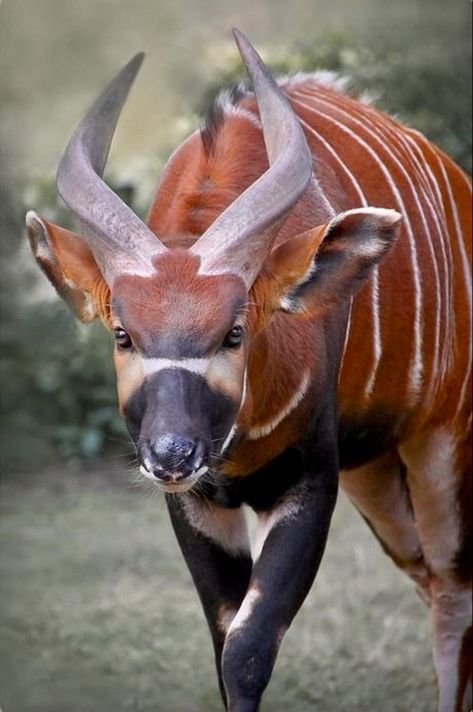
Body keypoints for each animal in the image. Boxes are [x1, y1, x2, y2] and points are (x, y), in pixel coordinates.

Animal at [27, 30, 470, 712]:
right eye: (123, 334)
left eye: (234, 331)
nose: (171, 454)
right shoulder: (199, 503)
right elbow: (223, 639)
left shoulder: (310, 485)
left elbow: (248, 649)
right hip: (377, 477)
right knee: (428, 579)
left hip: (441, 443)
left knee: (452, 589)